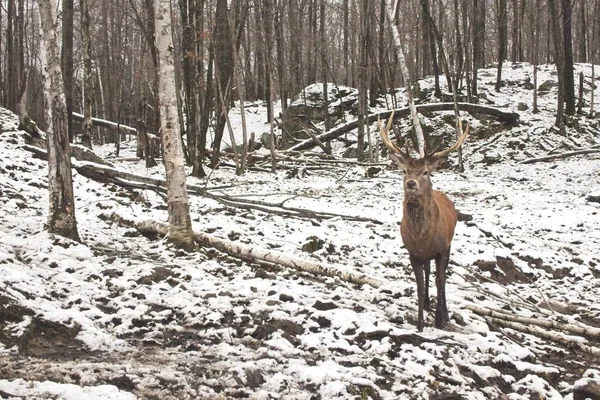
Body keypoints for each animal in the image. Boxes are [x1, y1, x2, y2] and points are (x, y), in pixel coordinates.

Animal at [380, 115, 468, 332]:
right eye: (404, 170)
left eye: (426, 172)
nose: (411, 183)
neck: (422, 236)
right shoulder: (413, 253)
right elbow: (419, 287)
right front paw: (420, 324)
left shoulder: (442, 248)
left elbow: (440, 280)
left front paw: (439, 320)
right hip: (426, 255)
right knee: (429, 272)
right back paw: (428, 304)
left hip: (449, 244)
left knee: (442, 277)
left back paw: (444, 312)